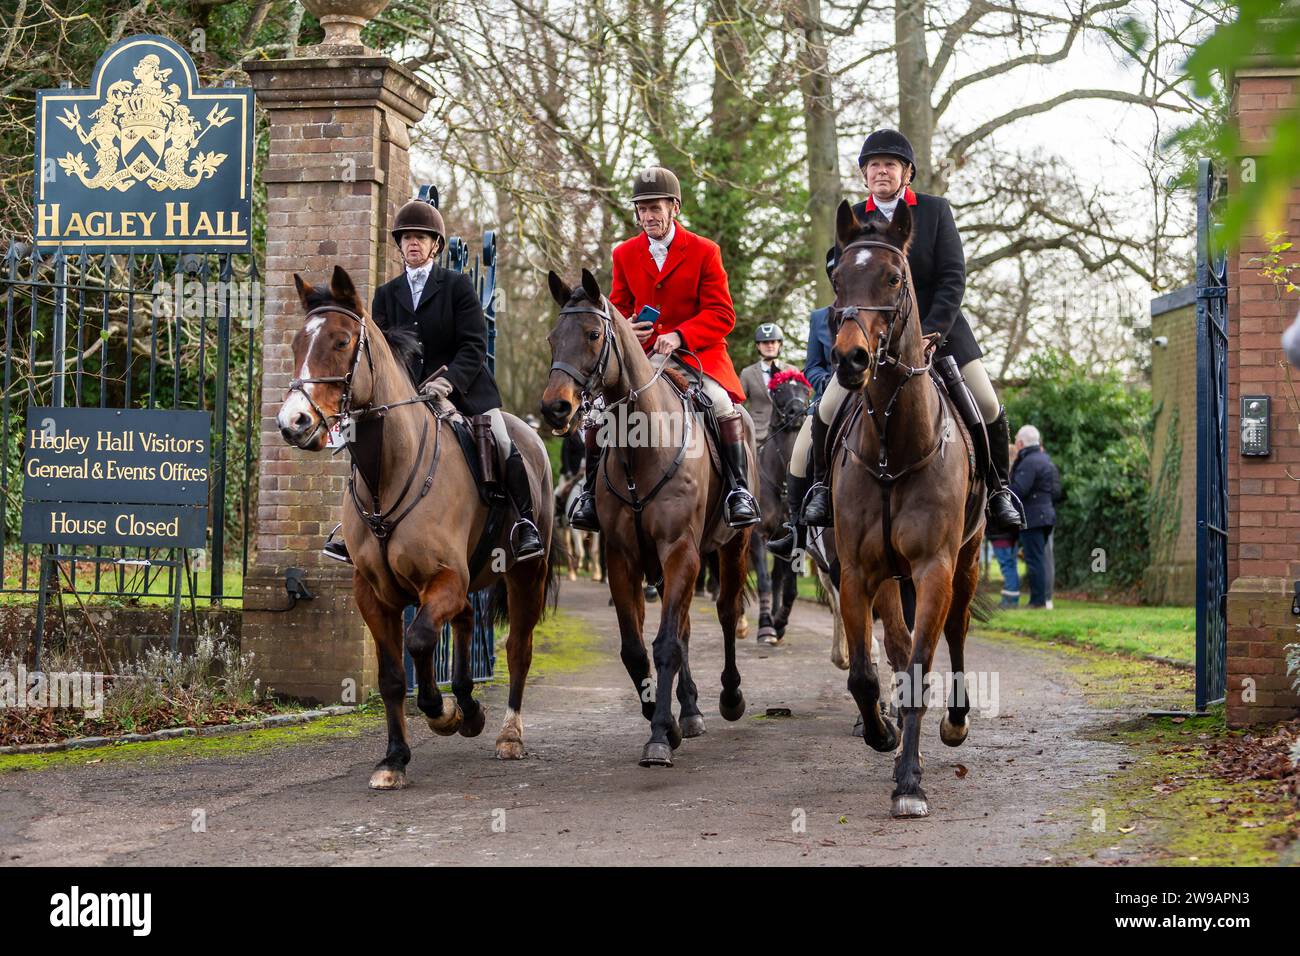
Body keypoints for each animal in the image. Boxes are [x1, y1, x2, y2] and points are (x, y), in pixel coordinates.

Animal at [274, 265, 559, 790]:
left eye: (341, 341)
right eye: (296, 343)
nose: (293, 422)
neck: (387, 472)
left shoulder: (442, 580)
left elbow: (422, 640)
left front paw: (441, 712)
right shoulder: (374, 594)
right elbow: (391, 676)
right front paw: (395, 758)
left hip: (526, 573)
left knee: (518, 648)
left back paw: (506, 733)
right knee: (465, 620)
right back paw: (468, 702)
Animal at [535, 269, 754, 770]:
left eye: (593, 335)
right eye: (553, 337)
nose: (556, 407)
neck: (643, 446)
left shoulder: (679, 550)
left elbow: (666, 643)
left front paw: (658, 737)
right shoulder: (623, 556)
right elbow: (636, 650)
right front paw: (664, 719)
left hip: (731, 546)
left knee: (726, 613)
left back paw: (730, 697)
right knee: (687, 628)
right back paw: (689, 711)